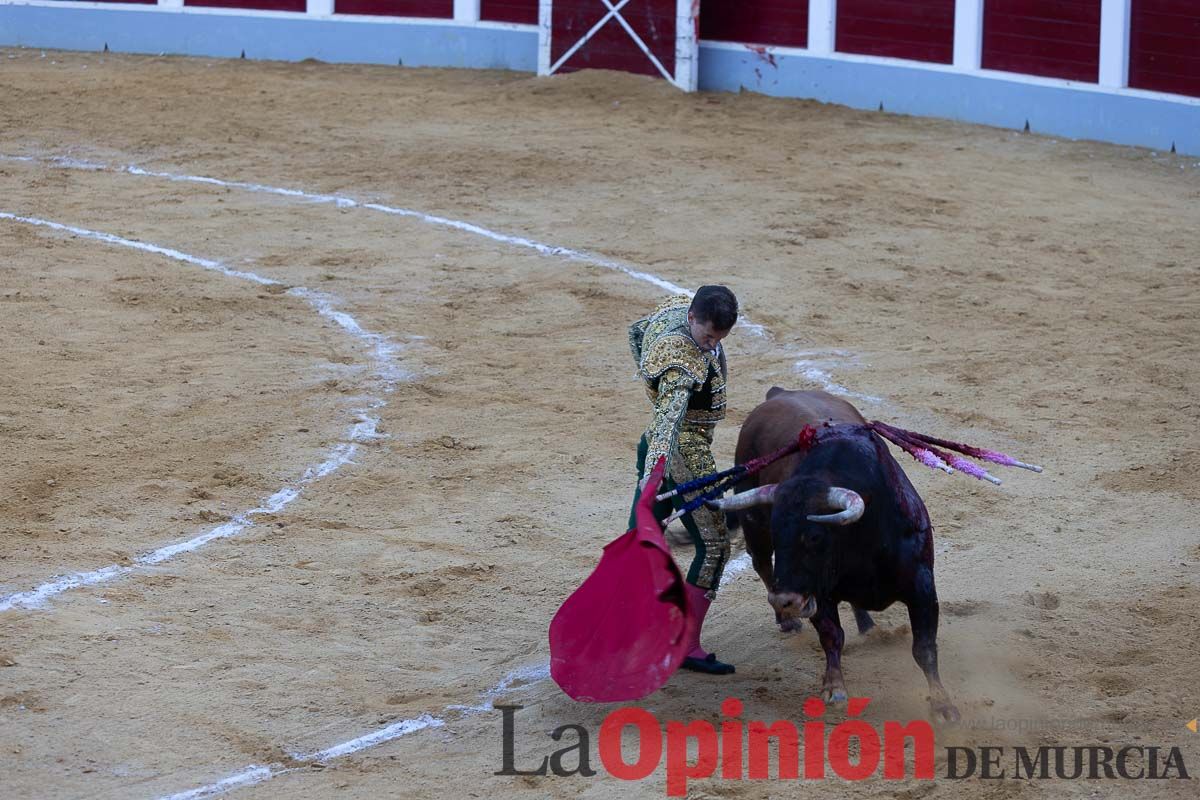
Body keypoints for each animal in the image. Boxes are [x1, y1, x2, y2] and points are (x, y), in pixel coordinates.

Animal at [715, 383, 960, 724]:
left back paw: (868, 628)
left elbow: (924, 647)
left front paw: (942, 705)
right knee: (762, 564)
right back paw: (787, 622)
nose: (784, 601)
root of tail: (778, 393)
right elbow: (832, 635)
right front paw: (834, 689)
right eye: (779, 534)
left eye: (815, 536)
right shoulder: (816, 592)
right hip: (754, 528)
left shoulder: (922, 585)